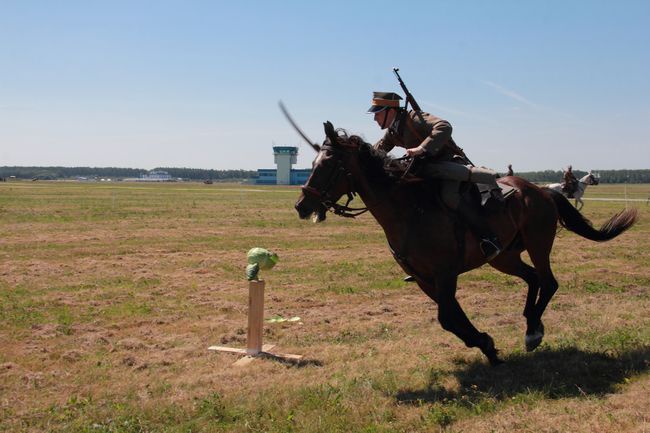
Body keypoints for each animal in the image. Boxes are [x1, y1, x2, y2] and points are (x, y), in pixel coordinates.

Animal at [294, 122, 636, 364]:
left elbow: (447, 316)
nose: (302, 205)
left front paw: (486, 344)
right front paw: (487, 346)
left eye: (328, 163)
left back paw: (533, 333)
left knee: (549, 281)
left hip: (539, 244)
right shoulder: (424, 278)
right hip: (503, 257)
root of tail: (541, 191)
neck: (408, 209)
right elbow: (452, 317)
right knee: (533, 278)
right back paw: (529, 323)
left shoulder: (445, 274)